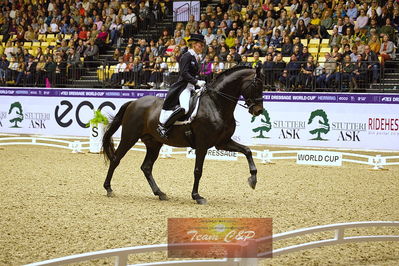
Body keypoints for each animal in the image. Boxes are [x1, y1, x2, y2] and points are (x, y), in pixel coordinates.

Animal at [103, 66, 266, 204]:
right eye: (256, 85)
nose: (258, 111)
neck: (216, 104)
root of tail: (134, 102)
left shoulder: (222, 142)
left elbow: (247, 151)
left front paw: (253, 179)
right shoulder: (202, 144)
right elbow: (198, 171)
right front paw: (197, 196)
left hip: (154, 143)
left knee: (146, 167)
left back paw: (160, 193)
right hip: (130, 137)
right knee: (116, 159)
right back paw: (108, 188)